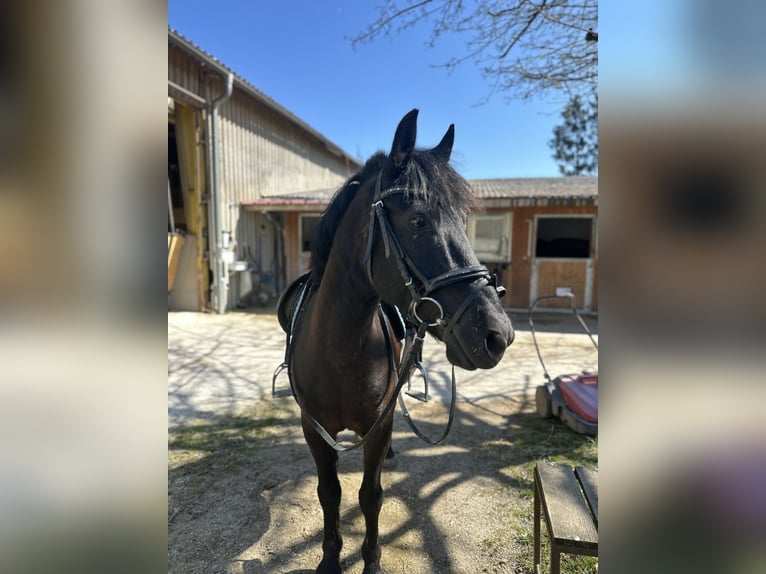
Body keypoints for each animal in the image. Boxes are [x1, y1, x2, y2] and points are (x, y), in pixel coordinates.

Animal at [278, 109, 514, 573]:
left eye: (463, 222)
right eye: (418, 220)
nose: (498, 334)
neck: (339, 351)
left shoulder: (380, 425)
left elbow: (371, 496)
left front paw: (371, 560)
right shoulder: (313, 429)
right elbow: (329, 493)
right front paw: (330, 559)